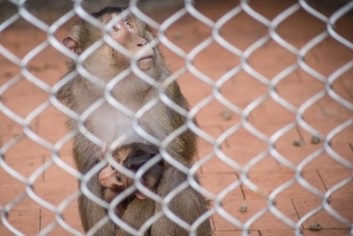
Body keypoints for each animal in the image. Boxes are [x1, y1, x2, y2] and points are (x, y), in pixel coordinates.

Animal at [57, 6, 209, 235]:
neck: (119, 89)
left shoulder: (163, 94)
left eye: (129, 24)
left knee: (175, 177)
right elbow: (91, 164)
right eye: (115, 29)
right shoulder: (80, 97)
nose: (141, 42)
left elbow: (167, 166)